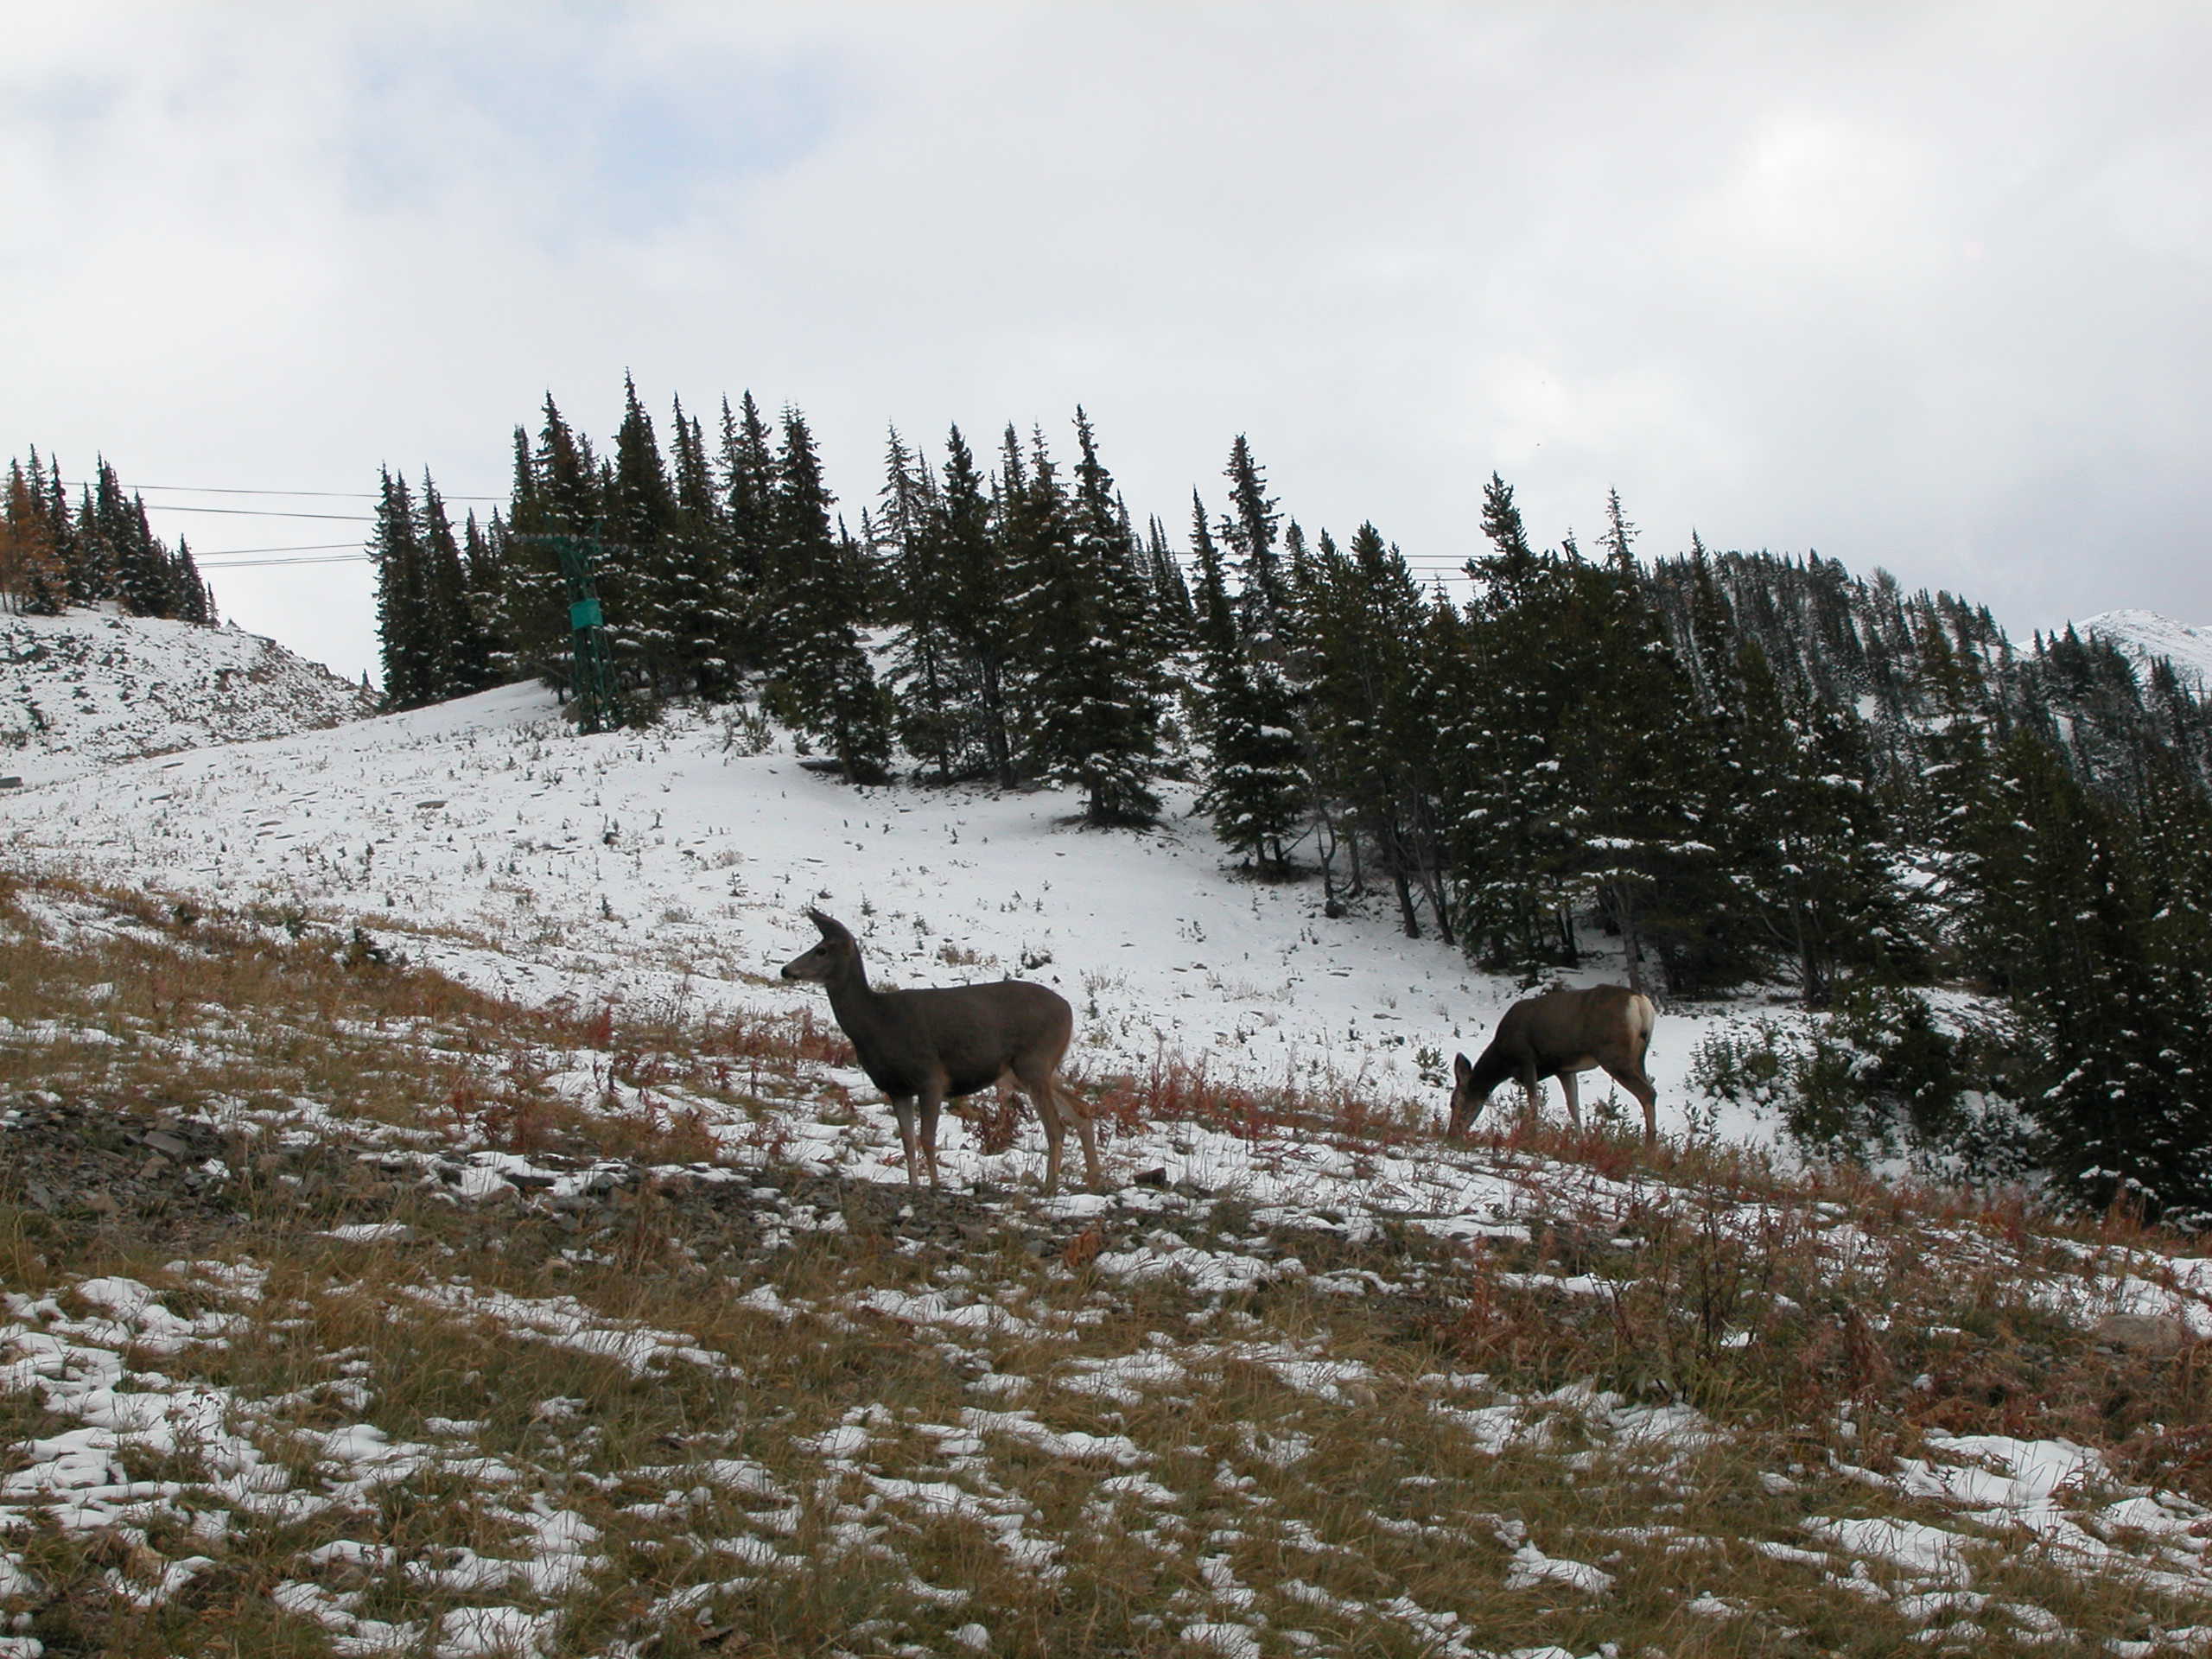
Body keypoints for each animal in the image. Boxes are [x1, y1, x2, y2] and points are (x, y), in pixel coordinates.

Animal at [779, 911, 1106, 1194]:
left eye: (822, 950)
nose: (786, 970)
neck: (876, 1024)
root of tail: (1068, 1011)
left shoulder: (931, 1077)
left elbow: (927, 1138)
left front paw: (935, 1185)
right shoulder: (896, 1088)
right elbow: (908, 1140)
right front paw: (913, 1185)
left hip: (1034, 1062)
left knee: (1056, 1126)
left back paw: (1050, 1187)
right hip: (1029, 1071)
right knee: (1081, 1109)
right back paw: (1092, 1180)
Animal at [1451, 986, 1663, 1141]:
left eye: (1453, 1102)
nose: (1451, 1132)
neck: (1503, 1059)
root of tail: (1639, 1001)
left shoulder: (1526, 1058)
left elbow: (1533, 1101)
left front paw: (1532, 1137)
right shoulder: (1564, 1069)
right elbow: (1574, 1108)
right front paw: (1580, 1143)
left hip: (1613, 1055)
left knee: (1648, 1093)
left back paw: (1649, 1148)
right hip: (1638, 1057)